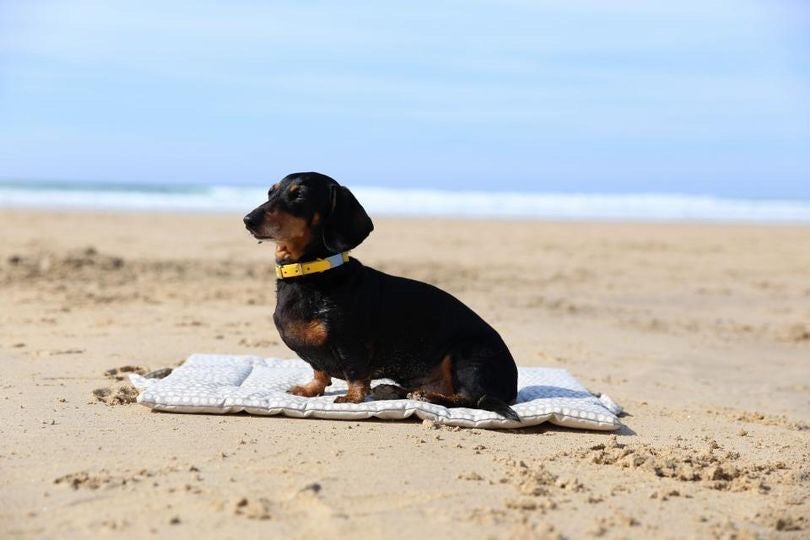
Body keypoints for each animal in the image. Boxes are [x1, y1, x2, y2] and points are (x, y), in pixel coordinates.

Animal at [241, 171, 516, 420]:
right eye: (270, 192)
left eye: (299, 195)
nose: (247, 220)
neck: (313, 273)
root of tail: (511, 386)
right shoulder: (318, 358)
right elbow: (319, 372)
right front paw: (310, 389)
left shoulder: (351, 344)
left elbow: (355, 374)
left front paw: (352, 397)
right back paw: (394, 390)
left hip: (469, 358)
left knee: (471, 399)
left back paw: (425, 396)